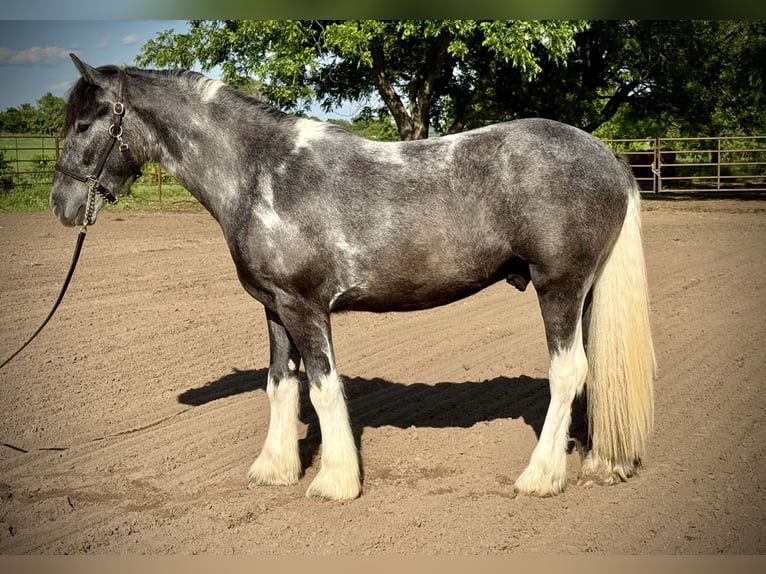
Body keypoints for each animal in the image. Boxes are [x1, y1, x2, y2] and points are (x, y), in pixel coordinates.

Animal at [50, 54, 655, 500]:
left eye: (83, 123)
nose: (61, 204)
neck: (261, 174)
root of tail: (609, 159)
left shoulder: (305, 306)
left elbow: (322, 388)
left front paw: (335, 482)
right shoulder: (273, 307)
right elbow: (280, 383)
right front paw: (274, 470)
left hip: (559, 288)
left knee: (568, 372)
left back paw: (540, 477)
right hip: (585, 292)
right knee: (594, 371)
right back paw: (604, 464)